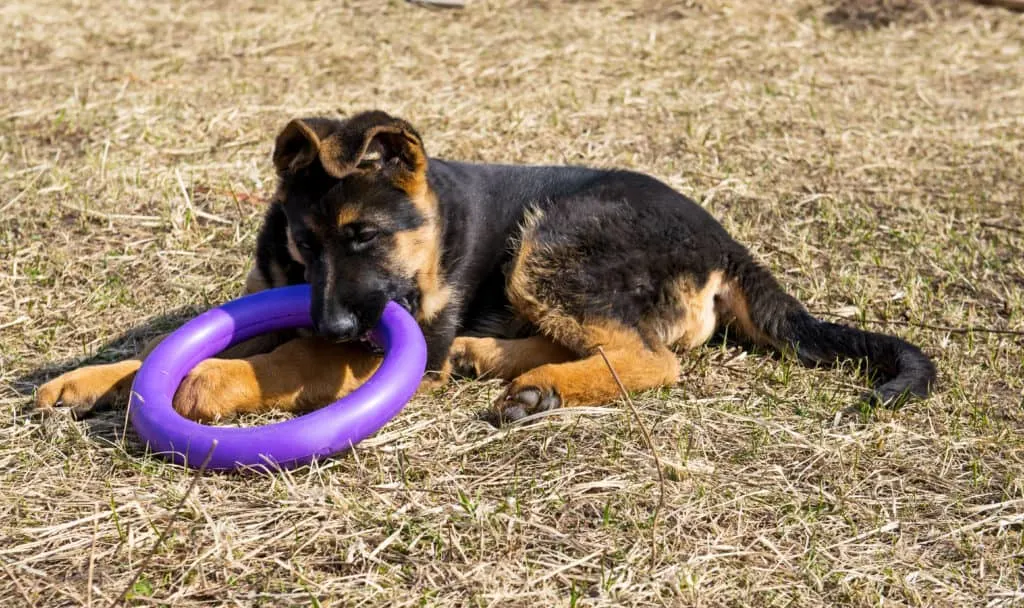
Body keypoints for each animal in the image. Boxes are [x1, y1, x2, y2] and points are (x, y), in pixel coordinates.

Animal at [37, 109, 937, 421]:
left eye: (363, 237)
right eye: (304, 245)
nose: (334, 314)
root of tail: (725, 241)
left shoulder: (388, 341)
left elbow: (293, 357)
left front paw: (211, 380)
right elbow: (172, 350)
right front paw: (85, 380)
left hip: (554, 238)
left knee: (652, 358)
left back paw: (537, 388)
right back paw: (501, 363)